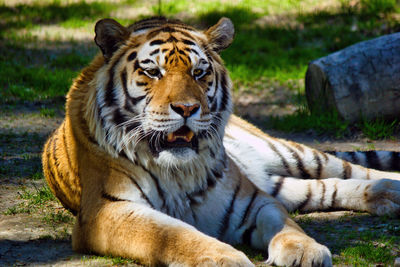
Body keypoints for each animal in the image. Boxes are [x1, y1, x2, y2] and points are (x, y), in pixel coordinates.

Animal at [43, 17, 400, 267]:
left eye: (199, 73)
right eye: (153, 72)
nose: (187, 108)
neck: (179, 172)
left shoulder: (253, 201)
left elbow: (288, 226)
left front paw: (304, 250)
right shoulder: (108, 211)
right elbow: (173, 233)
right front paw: (222, 258)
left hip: (289, 155)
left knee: (350, 170)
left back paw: (390, 188)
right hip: (277, 182)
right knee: (323, 188)